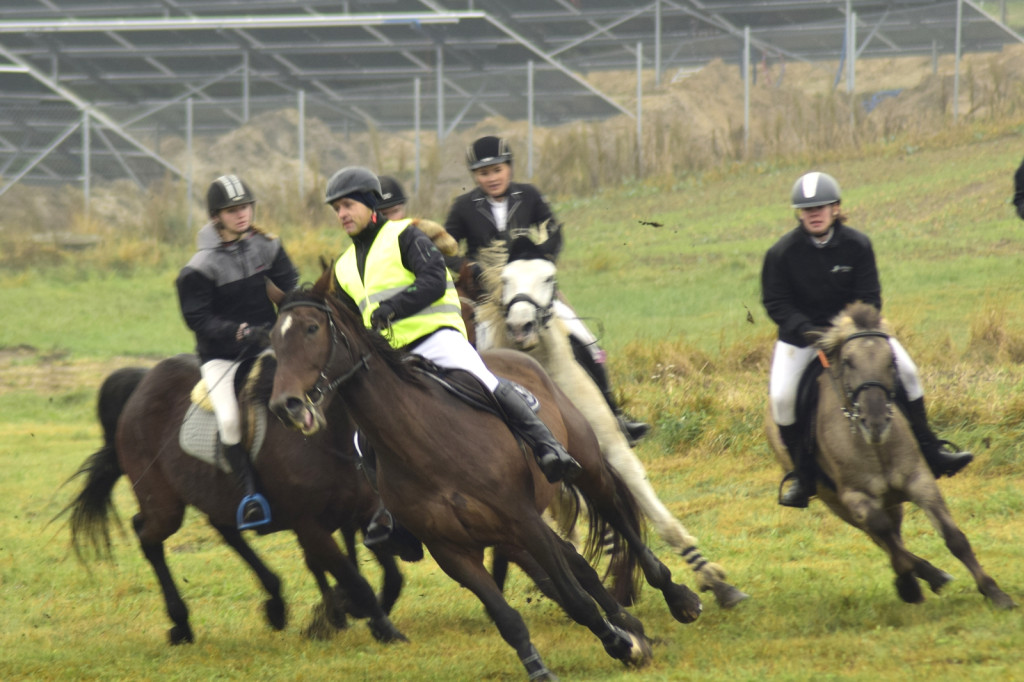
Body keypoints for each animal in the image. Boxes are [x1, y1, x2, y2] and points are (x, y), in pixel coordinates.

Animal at [59, 356, 407, 643]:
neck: (328, 437)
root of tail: (143, 383)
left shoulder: (365, 513)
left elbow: (391, 577)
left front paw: (353, 614)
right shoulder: (310, 526)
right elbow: (353, 578)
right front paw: (374, 625)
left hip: (214, 496)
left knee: (223, 529)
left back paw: (275, 601)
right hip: (164, 505)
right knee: (147, 536)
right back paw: (181, 622)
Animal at [266, 270, 704, 679]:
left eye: (312, 328)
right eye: (274, 337)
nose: (286, 405)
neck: (427, 443)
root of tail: (522, 359)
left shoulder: (522, 520)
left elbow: (575, 597)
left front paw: (622, 644)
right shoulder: (452, 550)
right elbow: (508, 617)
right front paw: (548, 666)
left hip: (586, 469)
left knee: (618, 517)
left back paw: (677, 597)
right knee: (579, 563)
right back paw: (631, 623)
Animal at [468, 233, 749, 606]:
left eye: (549, 278)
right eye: (505, 280)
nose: (520, 327)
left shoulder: (613, 451)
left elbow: (659, 518)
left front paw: (713, 579)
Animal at [770, 301, 1015, 606]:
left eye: (891, 361)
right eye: (848, 362)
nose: (875, 422)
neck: (875, 447)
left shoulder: (920, 480)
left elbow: (954, 538)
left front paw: (994, 592)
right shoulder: (855, 497)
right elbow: (883, 533)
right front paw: (908, 582)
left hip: (889, 499)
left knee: (892, 533)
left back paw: (931, 576)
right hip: (837, 502)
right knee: (882, 537)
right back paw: (921, 578)